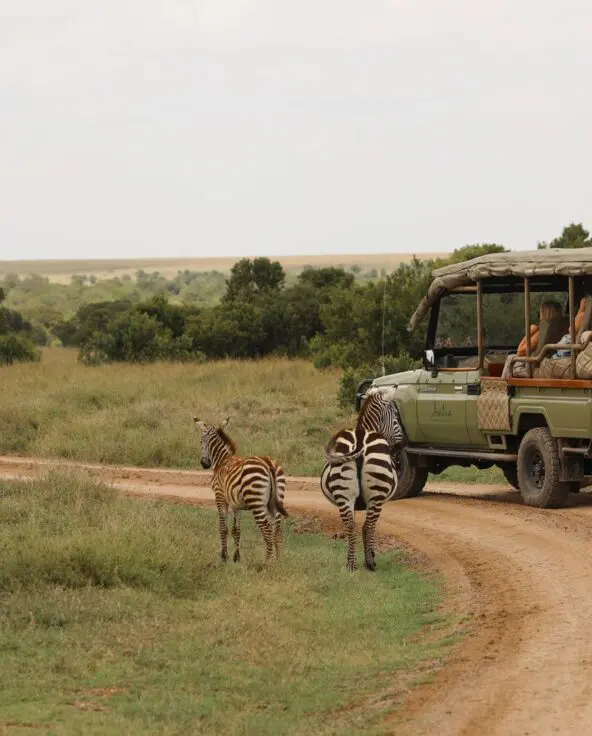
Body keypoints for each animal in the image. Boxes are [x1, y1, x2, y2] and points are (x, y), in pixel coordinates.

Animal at [193, 416, 288, 564]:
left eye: (201, 441)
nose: (204, 464)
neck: (222, 460)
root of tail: (268, 463)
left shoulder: (220, 497)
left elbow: (223, 528)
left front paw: (224, 556)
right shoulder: (236, 505)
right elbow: (236, 530)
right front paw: (236, 557)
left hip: (256, 502)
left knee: (266, 528)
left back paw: (267, 562)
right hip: (275, 501)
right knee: (276, 529)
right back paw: (278, 561)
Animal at [320, 386, 405, 571]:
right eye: (395, 416)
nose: (401, 446)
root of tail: (359, 440)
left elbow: (350, 526)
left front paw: (349, 558)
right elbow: (372, 527)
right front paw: (371, 555)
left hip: (343, 493)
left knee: (350, 525)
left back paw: (351, 565)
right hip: (376, 495)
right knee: (368, 526)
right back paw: (370, 562)